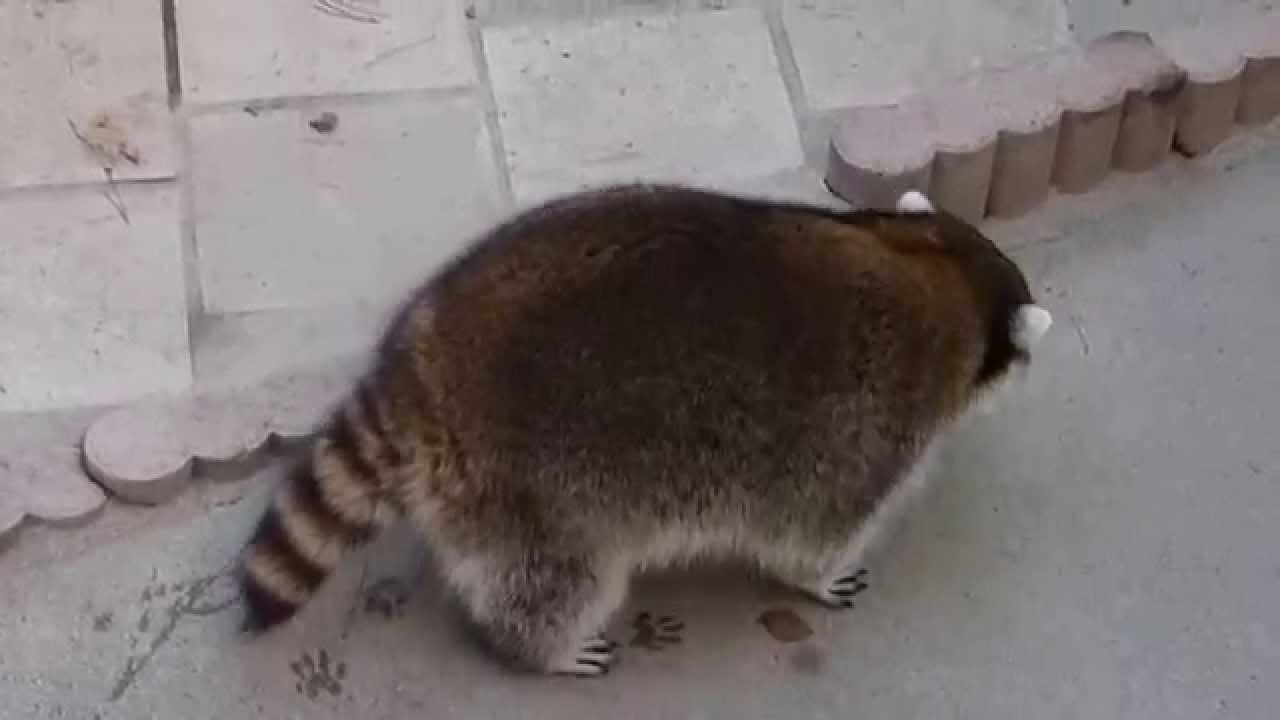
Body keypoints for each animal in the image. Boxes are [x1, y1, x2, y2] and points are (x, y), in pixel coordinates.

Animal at [238, 185, 1051, 676]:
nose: (1029, 370)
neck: (937, 270)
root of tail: (424, 366)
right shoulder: (867, 430)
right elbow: (811, 536)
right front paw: (816, 578)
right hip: (535, 487)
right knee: (556, 578)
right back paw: (540, 647)